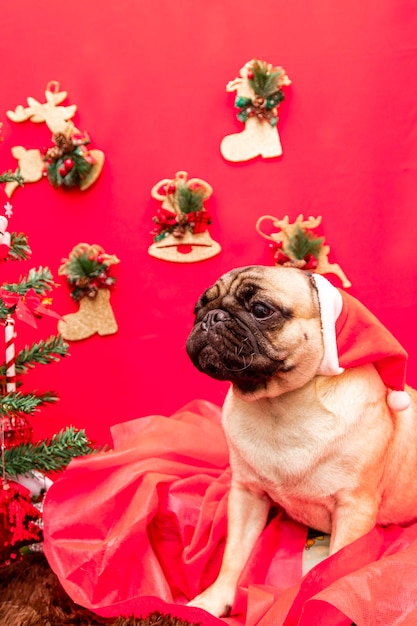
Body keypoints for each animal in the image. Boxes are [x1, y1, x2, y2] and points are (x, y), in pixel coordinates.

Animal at [185, 262, 416, 616]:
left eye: (261, 310)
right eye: (198, 309)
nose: (211, 317)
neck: (279, 406)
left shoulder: (354, 508)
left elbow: (335, 569)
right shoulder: (246, 494)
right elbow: (234, 556)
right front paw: (213, 601)